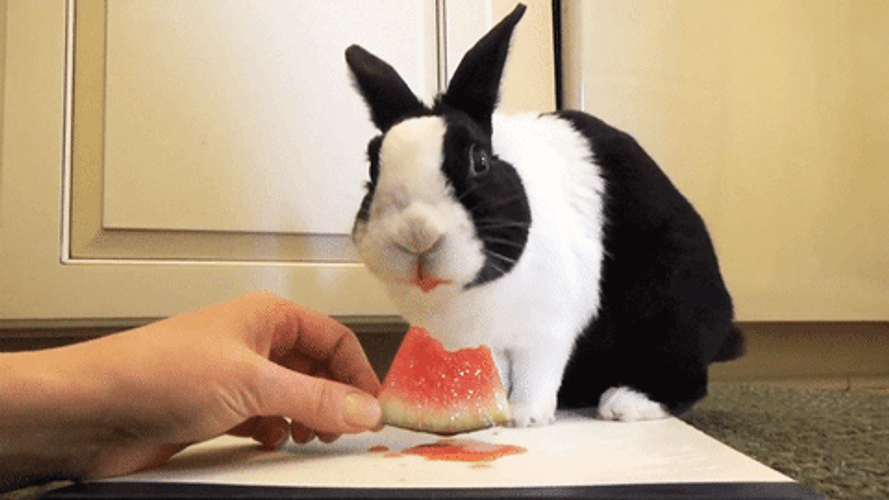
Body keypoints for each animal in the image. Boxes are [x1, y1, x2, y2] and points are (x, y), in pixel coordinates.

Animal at [345, 3, 745, 427]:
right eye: (373, 164)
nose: (416, 234)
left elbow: (537, 372)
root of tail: (725, 324)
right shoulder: (483, 342)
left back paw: (625, 402)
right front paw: (496, 409)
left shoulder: (548, 329)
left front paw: (526, 416)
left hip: (674, 315)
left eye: (479, 161)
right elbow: (492, 372)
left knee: (687, 380)